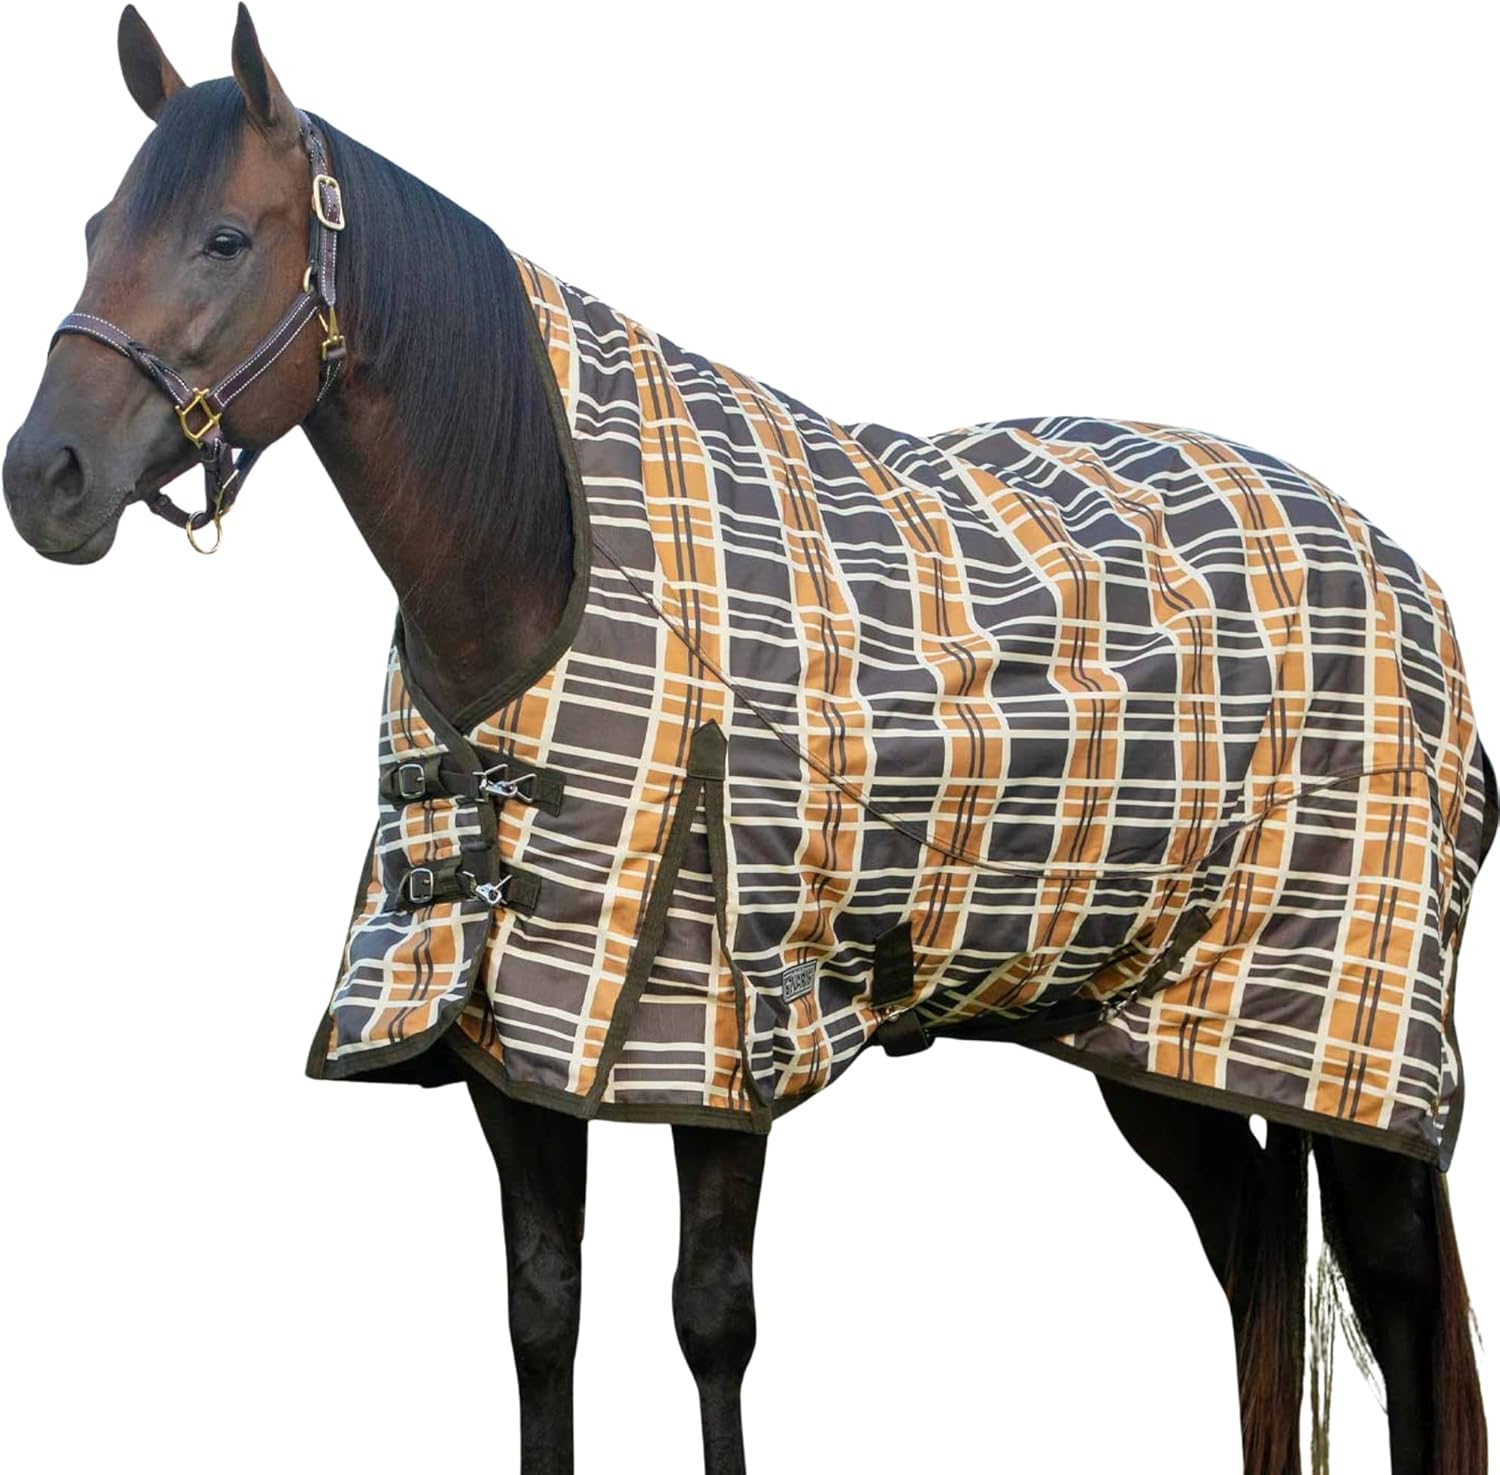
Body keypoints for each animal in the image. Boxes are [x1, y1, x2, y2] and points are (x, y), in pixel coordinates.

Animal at [2, 8, 1488, 1473]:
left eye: (224, 238)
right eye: (90, 227)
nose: (44, 478)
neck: (547, 556)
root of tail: (1393, 559)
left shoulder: (725, 1024)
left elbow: (712, 1316)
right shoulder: (509, 1036)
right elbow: (542, 1309)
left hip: (1345, 1026)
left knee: (1400, 1299)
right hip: (1157, 1030)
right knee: (1253, 1266)